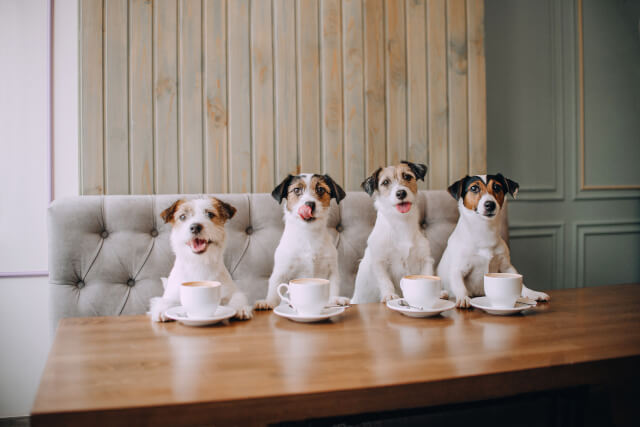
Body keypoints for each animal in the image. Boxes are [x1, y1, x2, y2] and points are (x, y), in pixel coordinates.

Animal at [252, 174, 350, 310]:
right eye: (297, 190)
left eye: (320, 189)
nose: (310, 204)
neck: (308, 234)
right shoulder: (281, 271)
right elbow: (274, 289)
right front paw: (268, 302)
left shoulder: (332, 270)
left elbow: (333, 287)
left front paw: (334, 300)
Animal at [350, 160, 440, 304]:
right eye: (385, 182)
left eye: (407, 176)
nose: (401, 193)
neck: (401, 222)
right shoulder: (379, 262)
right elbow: (385, 281)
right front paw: (390, 295)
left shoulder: (425, 259)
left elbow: (427, 275)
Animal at [438, 174, 552, 308]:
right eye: (474, 188)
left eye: (497, 187)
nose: (490, 204)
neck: (484, 231)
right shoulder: (458, 269)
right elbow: (459, 285)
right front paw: (463, 297)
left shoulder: (506, 266)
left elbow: (519, 282)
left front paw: (532, 293)